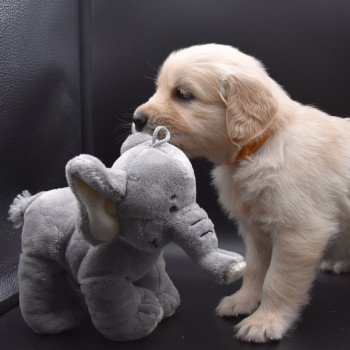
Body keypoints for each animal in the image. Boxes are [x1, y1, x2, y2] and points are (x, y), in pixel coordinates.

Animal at [132, 43, 350, 342]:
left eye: (183, 94)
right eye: (159, 88)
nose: (136, 119)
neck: (260, 145)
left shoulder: (299, 234)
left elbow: (278, 280)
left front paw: (265, 321)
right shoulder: (255, 231)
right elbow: (255, 270)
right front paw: (243, 301)